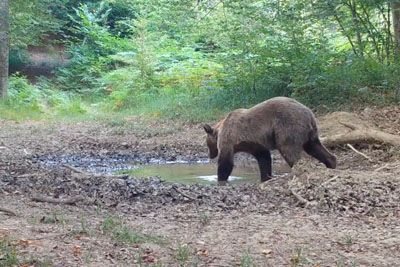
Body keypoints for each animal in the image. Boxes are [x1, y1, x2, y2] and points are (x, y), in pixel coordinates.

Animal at [203, 97, 338, 185]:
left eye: (207, 144)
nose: (210, 155)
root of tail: (309, 114)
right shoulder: (255, 143)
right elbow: (264, 159)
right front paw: (265, 177)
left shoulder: (230, 138)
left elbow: (225, 162)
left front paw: (220, 178)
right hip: (310, 134)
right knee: (315, 147)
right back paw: (331, 164)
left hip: (288, 126)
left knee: (289, 151)